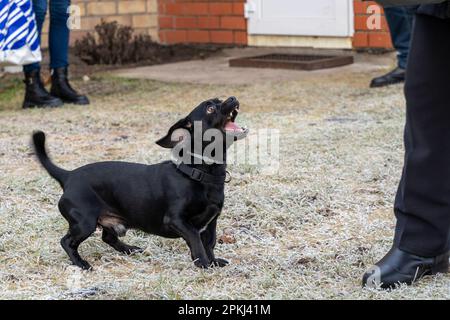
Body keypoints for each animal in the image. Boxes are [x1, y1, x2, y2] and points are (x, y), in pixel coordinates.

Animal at [33, 96, 248, 268]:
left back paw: (129, 249)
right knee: (66, 242)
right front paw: (202, 263)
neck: (199, 173)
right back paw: (80, 263)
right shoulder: (177, 220)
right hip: (84, 222)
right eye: (210, 108)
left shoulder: (211, 221)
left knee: (107, 237)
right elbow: (196, 240)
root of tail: (69, 175)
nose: (232, 97)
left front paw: (213, 261)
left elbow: (209, 243)